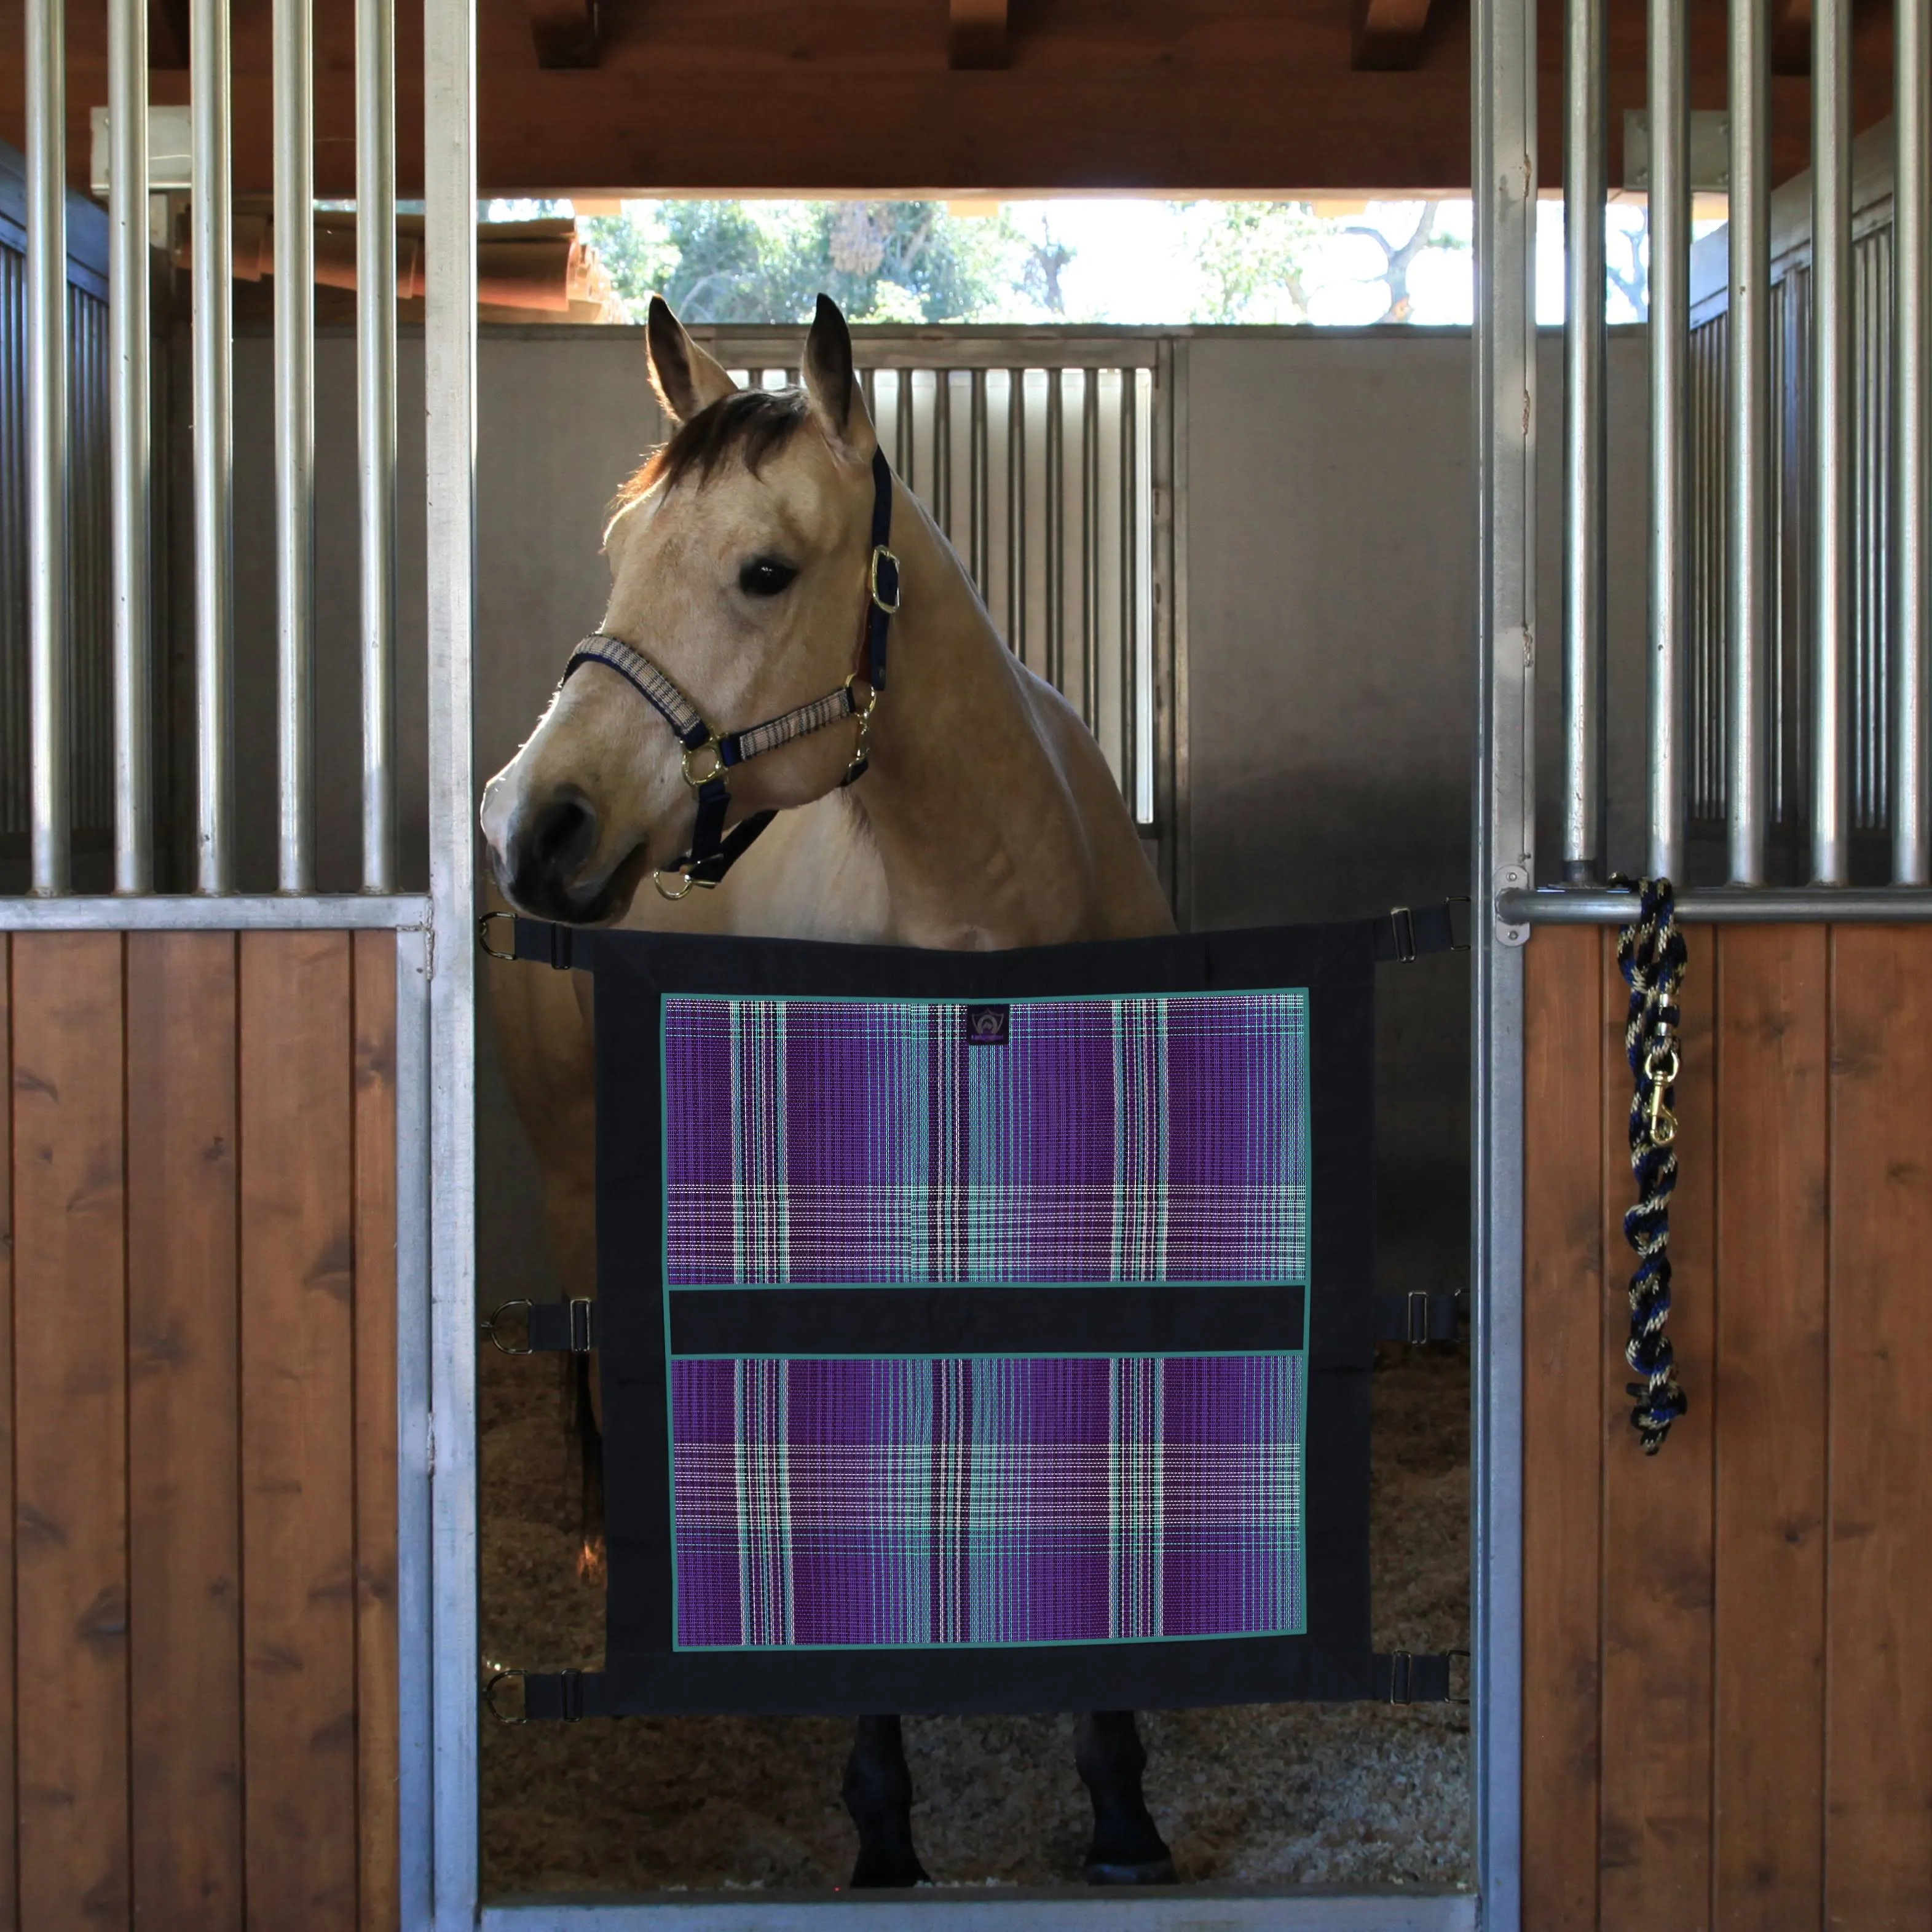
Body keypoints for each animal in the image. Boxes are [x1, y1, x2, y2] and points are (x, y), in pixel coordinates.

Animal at [481, 290, 1174, 1885]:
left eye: (761, 569)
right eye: (622, 550)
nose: (536, 826)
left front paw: (1118, 1800)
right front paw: (883, 1823)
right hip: (575, 1163)